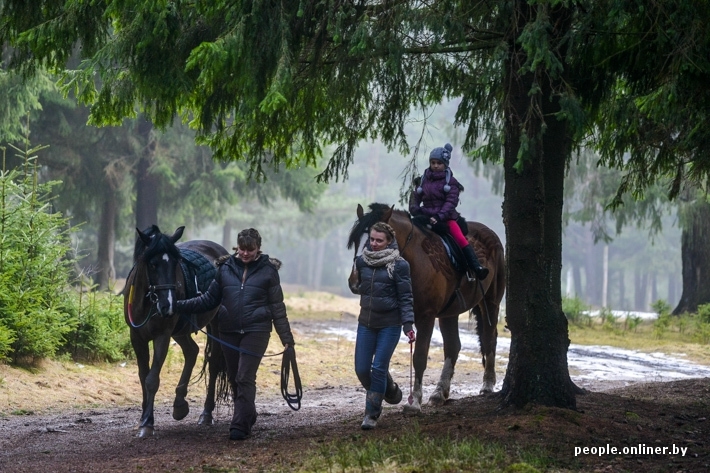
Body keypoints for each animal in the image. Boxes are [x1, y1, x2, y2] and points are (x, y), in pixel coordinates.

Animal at [121, 226, 229, 438]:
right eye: (153, 264)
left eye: (175, 264)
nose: (168, 305)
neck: (148, 302)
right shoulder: (136, 337)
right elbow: (143, 375)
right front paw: (144, 418)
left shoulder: (162, 336)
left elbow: (152, 379)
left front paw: (148, 424)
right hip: (180, 331)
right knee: (192, 351)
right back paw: (180, 404)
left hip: (215, 324)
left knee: (213, 362)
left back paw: (206, 413)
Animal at [346, 203, 506, 412]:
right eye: (356, 241)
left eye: (375, 242)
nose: (356, 282)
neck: (415, 261)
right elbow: (378, 359)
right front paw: (392, 391)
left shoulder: (426, 317)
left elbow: (419, 357)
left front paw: (414, 402)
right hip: (450, 313)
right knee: (453, 346)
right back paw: (439, 393)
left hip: (491, 302)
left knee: (489, 338)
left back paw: (487, 383)